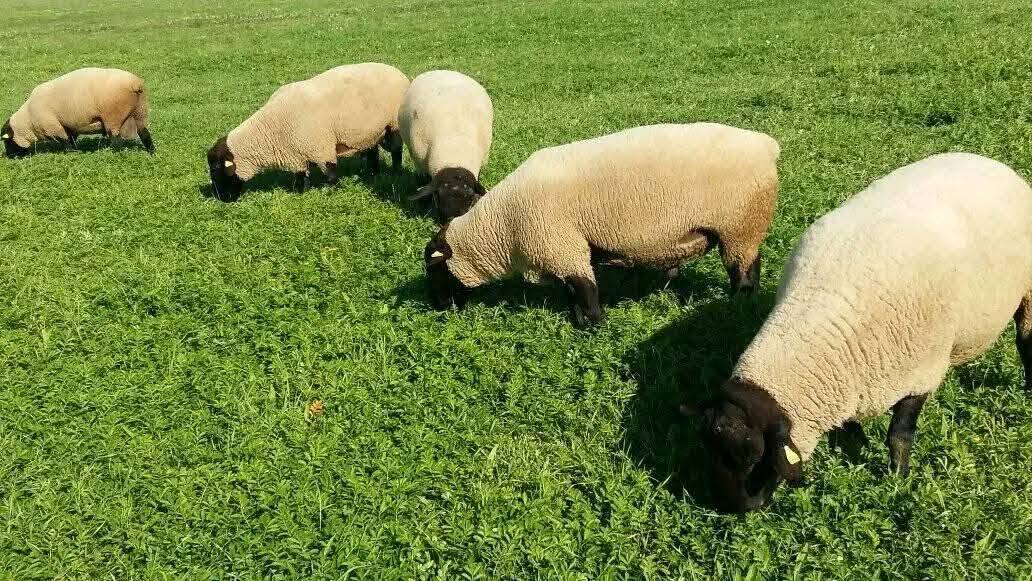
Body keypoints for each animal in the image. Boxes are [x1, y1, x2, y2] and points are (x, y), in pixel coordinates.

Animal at [2, 68, 154, 158]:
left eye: (6, 141)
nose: (10, 157)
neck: (28, 120)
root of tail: (135, 84)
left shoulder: (53, 126)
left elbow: (64, 140)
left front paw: (73, 152)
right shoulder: (67, 125)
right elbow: (71, 138)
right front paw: (75, 149)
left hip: (113, 115)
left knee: (115, 138)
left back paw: (112, 152)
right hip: (140, 109)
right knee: (144, 133)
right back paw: (151, 152)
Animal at [205, 63, 409, 201]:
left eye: (215, 169)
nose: (221, 199)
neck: (271, 129)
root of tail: (397, 72)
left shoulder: (321, 147)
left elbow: (330, 174)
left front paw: (335, 192)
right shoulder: (298, 152)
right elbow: (301, 176)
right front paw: (301, 193)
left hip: (393, 125)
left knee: (396, 151)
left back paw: (396, 172)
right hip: (368, 132)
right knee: (373, 151)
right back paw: (373, 173)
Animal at [424, 123, 781, 327]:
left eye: (434, 270)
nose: (437, 308)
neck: (502, 227)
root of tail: (766, 145)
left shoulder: (562, 245)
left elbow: (586, 289)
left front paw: (594, 325)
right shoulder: (561, 252)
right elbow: (572, 291)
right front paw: (579, 321)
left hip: (741, 224)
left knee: (744, 272)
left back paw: (738, 306)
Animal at [685, 152, 1032, 513]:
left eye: (756, 458)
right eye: (708, 449)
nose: (733, 507)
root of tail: (983, 159)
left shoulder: (922, 372)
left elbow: (899, 434)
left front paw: (898, 480)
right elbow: (851, 423)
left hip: (1028, 289)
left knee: (1025, 340)